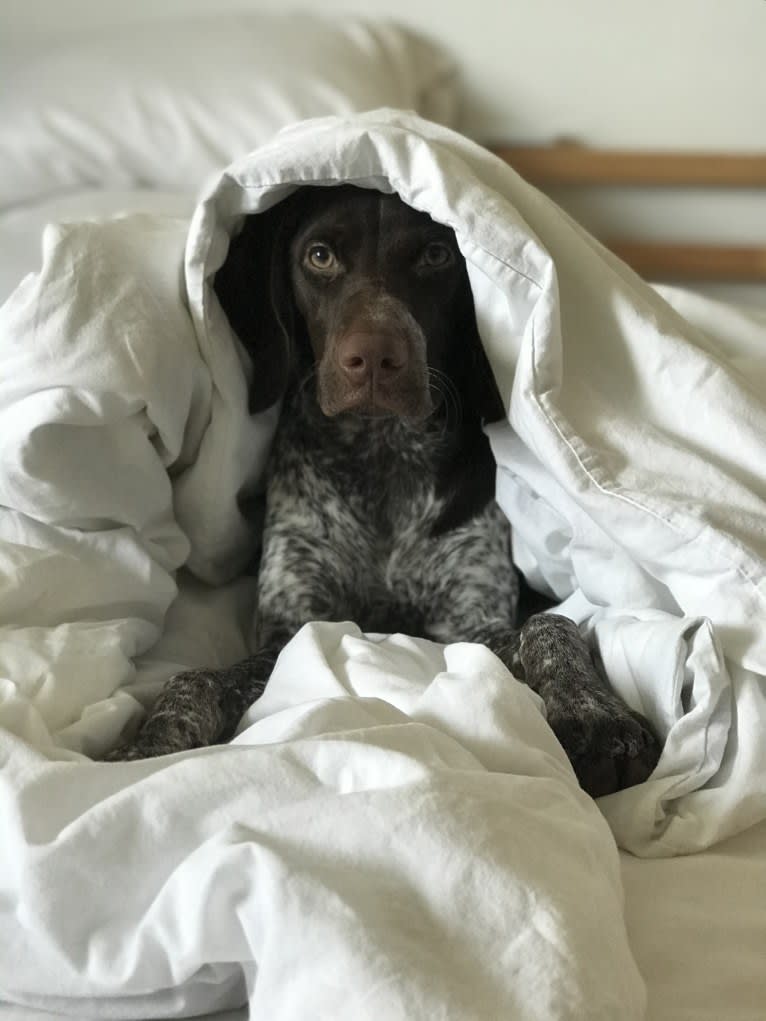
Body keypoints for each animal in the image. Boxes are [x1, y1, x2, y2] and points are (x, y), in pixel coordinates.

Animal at [105, 187, 661, 800]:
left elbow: (552, 626)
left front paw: (596, 717)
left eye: (438, 254)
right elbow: (196, 675)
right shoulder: (296, 626)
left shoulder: (468, 625)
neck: (383, 459)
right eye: (320, 256)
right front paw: (150, 742)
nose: (374, 357)